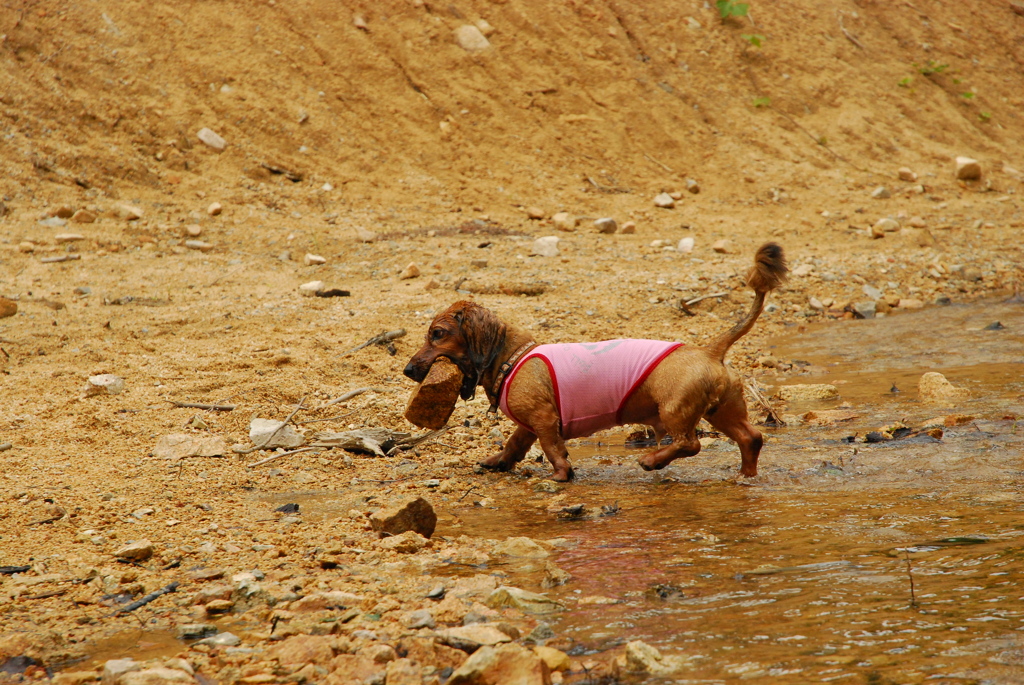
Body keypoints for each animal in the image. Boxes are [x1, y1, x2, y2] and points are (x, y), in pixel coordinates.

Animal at [403, 240, 786, 481]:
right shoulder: (529, 424)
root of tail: (708, 349)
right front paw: (498, 461)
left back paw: (651, 461)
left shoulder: (543, 419)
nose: (407, 370)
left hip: (675, 410)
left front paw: (560, 475)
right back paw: (745, 476)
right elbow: (514, 444)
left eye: (437, 333)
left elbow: (552, 447)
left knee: (689, 444)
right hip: (722, 410)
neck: (513, 357)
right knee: (751, 438)